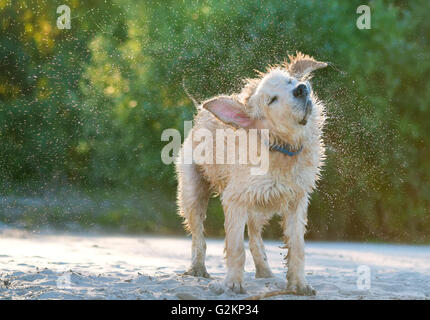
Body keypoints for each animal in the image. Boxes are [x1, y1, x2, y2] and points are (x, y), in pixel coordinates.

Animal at [175, 52, 326, 296]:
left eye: (290, 82)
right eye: (272, 100)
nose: (301, 89)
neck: (282, 148)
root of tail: (199, 117)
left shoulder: (297, 200)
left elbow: (297, 247)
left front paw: (299, 285)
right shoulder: (234, 199)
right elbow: (236, 247)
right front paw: (233, 284)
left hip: (261, 204)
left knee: (255, 236)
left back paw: (264, 271)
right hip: (192, 192)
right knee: (198, 235)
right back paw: (197, 268)